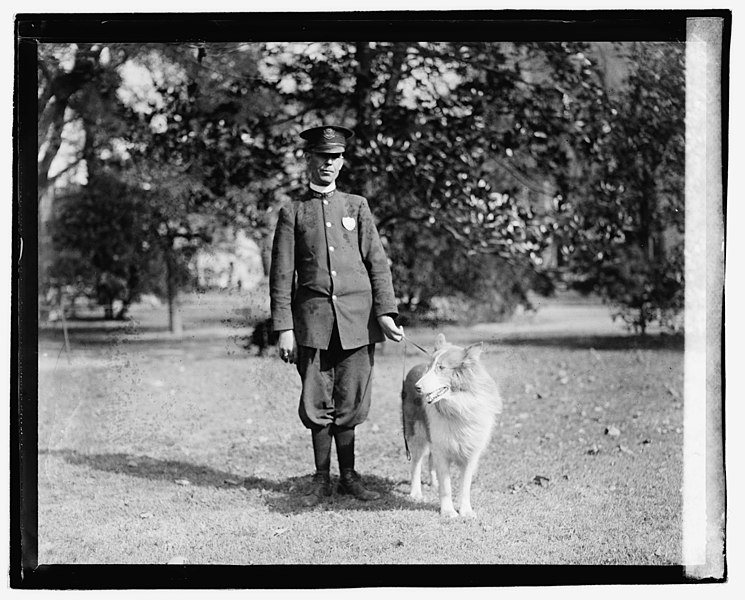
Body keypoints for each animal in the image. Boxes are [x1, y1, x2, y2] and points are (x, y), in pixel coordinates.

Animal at [402, 332, 500, 516]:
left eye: (441, 368)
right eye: (430, 367)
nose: (417, 387)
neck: (458, 405)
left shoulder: (471, 453)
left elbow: (465, 487)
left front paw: (466, 511)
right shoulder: (441, 449)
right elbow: (446, 487)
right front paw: (448, 512)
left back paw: (433, 484)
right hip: (417, 435)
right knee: (415, 464)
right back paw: (416, 493)